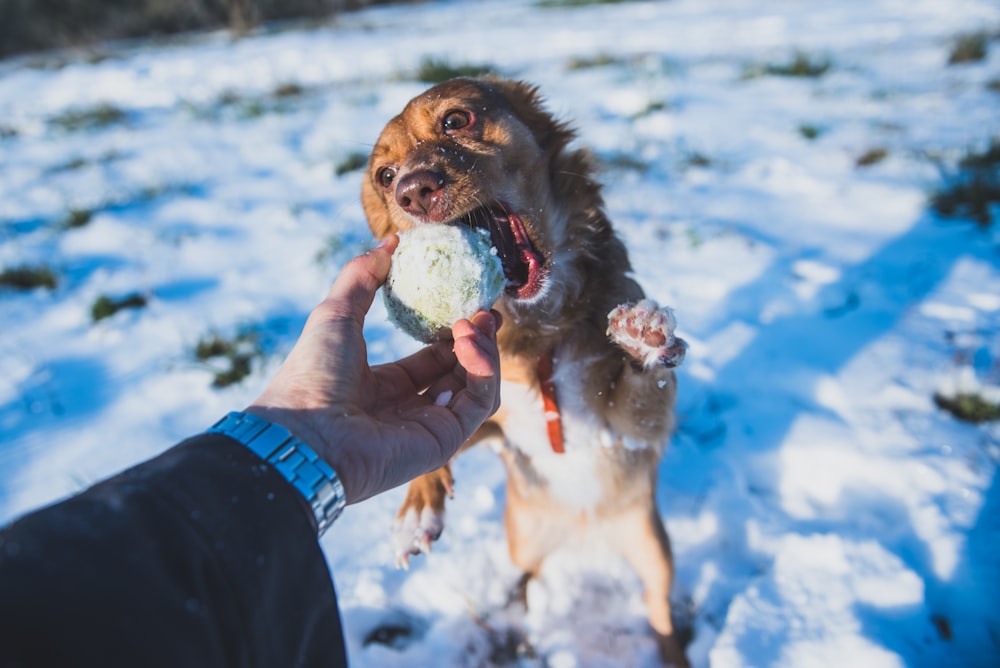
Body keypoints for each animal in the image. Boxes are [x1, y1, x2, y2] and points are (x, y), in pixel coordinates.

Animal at [364, 77, 692, 664]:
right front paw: (417, 510)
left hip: (656, 555)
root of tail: (583, 537)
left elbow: (644, 380)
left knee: (660, 615)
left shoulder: (634, 430)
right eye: (384, 176)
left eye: (456, 120)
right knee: (528, 576)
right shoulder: (495, 423)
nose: (412, 191)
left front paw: (642, 337)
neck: (540, 331)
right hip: (521, 540)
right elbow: (439, 442)